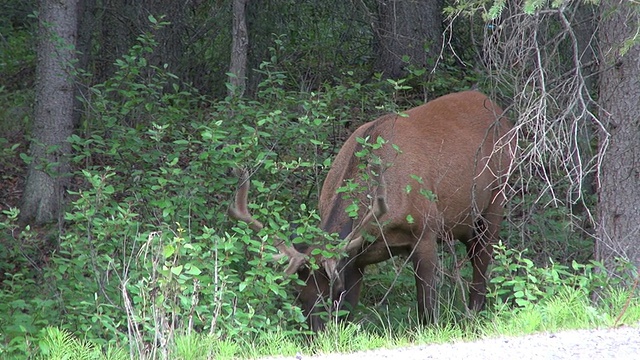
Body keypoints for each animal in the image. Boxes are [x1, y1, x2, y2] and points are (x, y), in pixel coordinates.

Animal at [230, 90, 516, 332]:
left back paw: (475, 315)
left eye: (333, 291)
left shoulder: (426, 230)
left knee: (482, 262)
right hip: (467, 223)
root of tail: (499, 111)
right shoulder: (355, 257)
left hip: (496, 199)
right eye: (299, 294)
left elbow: (426, 305)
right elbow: (349, 312)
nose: (316, 335)